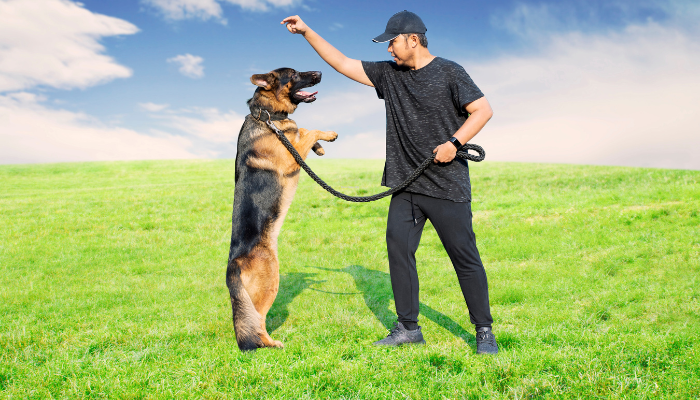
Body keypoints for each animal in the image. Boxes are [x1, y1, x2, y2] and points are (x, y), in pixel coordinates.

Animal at [226, 68, 338, 350]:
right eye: (295, 74)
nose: (320, 71)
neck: (267, 117)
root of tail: (233, 265)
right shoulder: (291, 157)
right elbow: (307, 130)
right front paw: (328, 135)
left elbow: (303, 131)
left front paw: (320, 147)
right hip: (270, 283)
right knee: (258, 319)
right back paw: (271, 343)